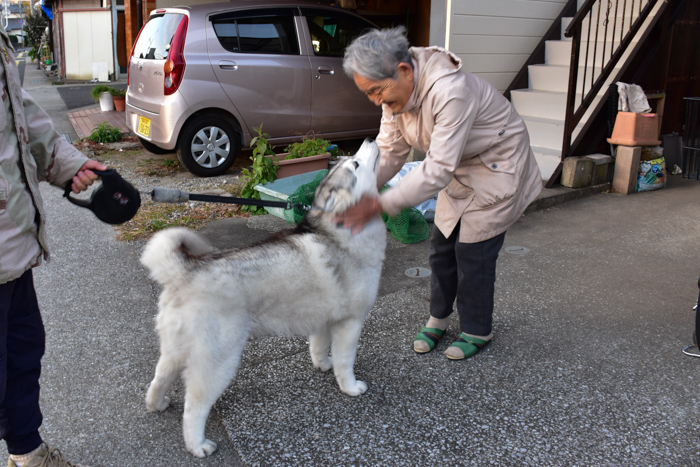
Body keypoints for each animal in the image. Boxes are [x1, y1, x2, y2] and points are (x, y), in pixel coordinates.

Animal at [139, 138, 386, 458]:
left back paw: (157, 404)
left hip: (174, 349)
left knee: (158, 379)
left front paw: (323, 365)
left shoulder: (322, 321)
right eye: (355, 163)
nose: (369, 139)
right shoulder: (350, 324)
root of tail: (186, 270)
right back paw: (198, 445)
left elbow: (319, 348)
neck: (340, 231)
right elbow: (346, 362)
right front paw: (350, 387)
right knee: (194, 408)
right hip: (219, 362)